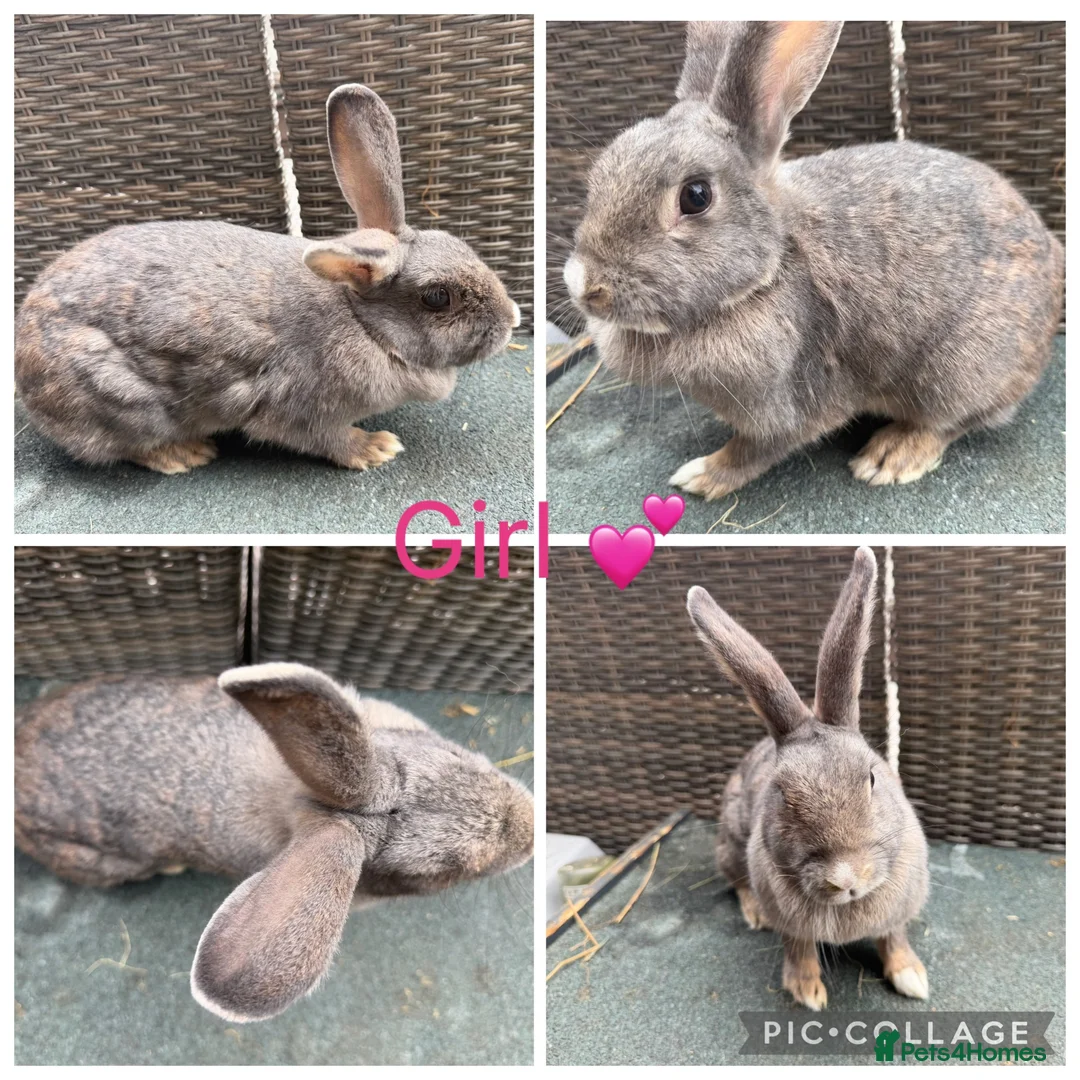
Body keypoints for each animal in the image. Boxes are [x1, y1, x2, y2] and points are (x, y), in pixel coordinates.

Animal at [14, 85, 521, 474]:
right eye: (438, 297)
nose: (512, 319)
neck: (364, 323)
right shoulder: (304, 410)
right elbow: (326, 438)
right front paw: (377, 448)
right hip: (125, 405)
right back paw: (186, 455)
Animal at [564, 21, 1064, 500]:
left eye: (696, 196)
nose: (586, 287)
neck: (768, 274)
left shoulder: (790, 404)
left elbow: (755, 449)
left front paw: (702, 476)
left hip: (957, 374)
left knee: (954, 420)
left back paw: (890, 456)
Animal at [686, 547, 929, 1010]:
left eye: (872, 778)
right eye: (782, 796)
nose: (847, 878)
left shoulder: (899, 909)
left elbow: (894, 937)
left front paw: (912, 978)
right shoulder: (791, 922)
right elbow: (797, 948)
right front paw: (807, 993)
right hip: (731, 846)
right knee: (737, 882)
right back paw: (754, 913)